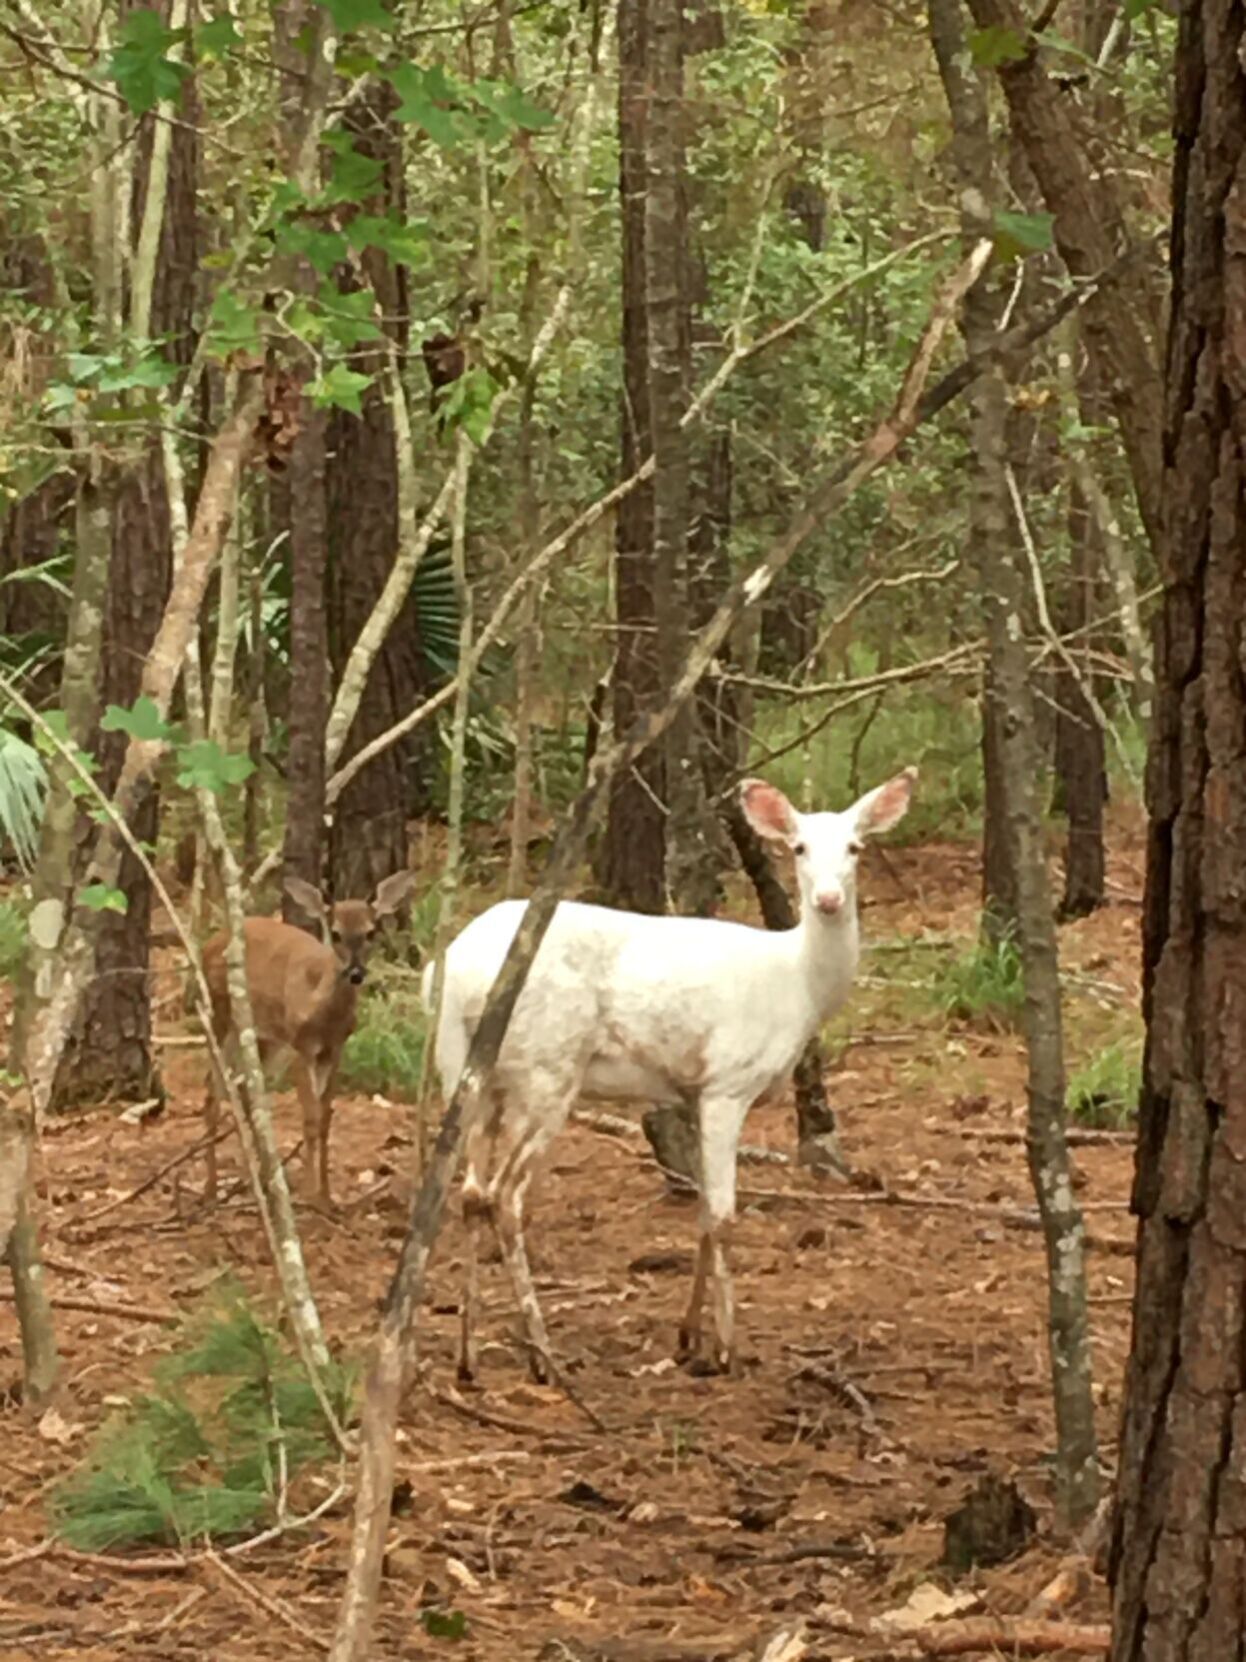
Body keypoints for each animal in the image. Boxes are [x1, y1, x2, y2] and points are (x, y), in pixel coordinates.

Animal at [202, 870, 416, 1209]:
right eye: (336, 933)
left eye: (370, 932)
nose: (356, 973)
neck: (324, 1012)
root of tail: (209, 944)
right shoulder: (301, 1045)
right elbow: (310, 1117)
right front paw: (308, 1194)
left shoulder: (334, 1049)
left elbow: (326, 1118)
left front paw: (327, 1198)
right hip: (222, 1015)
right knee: (213, 1087)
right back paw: (212, 1190)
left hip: (265, 1037)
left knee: (246, 1089)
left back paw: (264, 1181)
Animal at [428, 771, 917, 1382]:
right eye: (798, 848)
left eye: (854, 847)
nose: (828, 900)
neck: (796, 985)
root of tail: (452, 971)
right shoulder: (729, 1080)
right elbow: (725, 1217)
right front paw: (730, 1349)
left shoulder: (692, 1088)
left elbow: (704, 1213)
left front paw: (688, 1340)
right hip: (548, 1066)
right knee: (505, 1196)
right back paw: (544, 1356)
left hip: (467, 1069)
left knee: (471, 1191)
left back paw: (468, 1357)